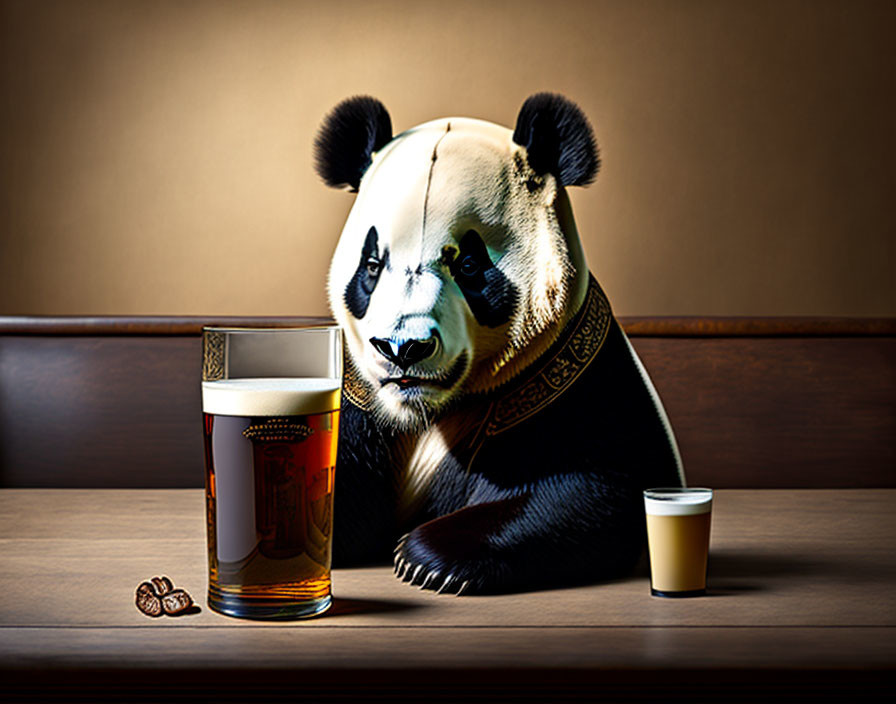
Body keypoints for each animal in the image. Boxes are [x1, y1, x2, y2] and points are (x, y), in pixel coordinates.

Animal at [312, 91, 684, 592]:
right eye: (372, 265)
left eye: (469, 265)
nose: (402, 348)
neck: (428, 410)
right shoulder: (359, 396)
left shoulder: (571, 377)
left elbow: (599, 489)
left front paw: (429, 558)